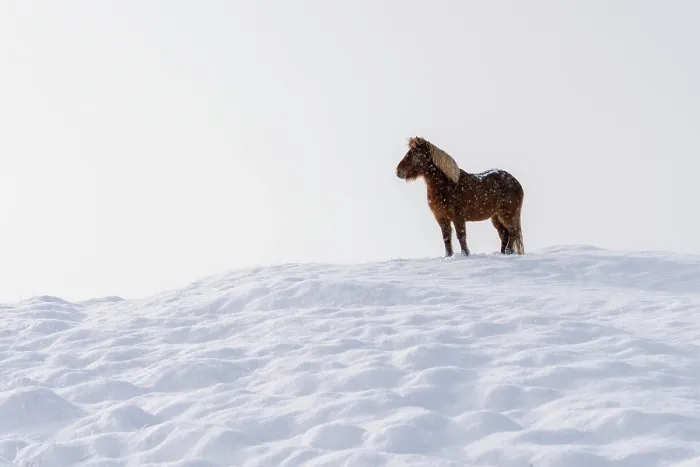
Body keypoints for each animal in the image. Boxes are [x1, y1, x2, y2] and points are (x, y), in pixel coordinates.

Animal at [395, 136, 525, 257]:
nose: (398, 171)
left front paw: (465, 254)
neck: (447, 185)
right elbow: (446, 238)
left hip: (507, 215)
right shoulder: (441, 217)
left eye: (415, 153)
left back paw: (508, 252)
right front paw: (448, 256)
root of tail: (516, 182)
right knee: (504, 234)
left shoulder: (458, 217)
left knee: (512, 232)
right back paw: (503, 253)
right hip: (496, 217)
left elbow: (461, 236)